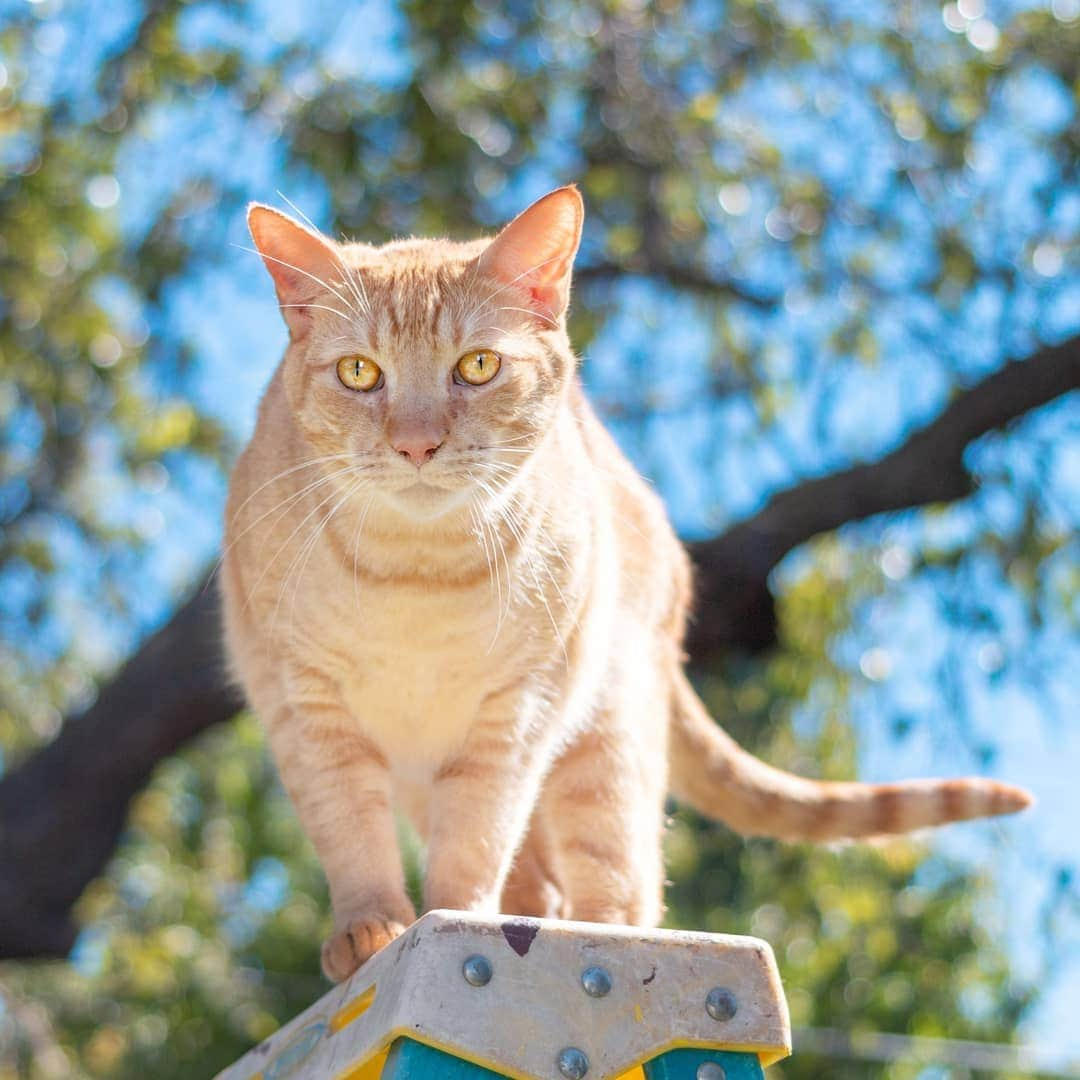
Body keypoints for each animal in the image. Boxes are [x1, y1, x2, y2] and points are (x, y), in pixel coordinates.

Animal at [217, 187, 1028, 989]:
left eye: (477, 366)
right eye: (359, 373)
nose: (417, 444)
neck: (415, 575)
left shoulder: (515, 717)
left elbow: (474, 844)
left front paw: (450, 920)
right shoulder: (309, 710)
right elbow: (351, 832)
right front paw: (371, 928)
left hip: (604, 741)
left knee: (614, 892)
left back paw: (595, 932)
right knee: (538, 884)